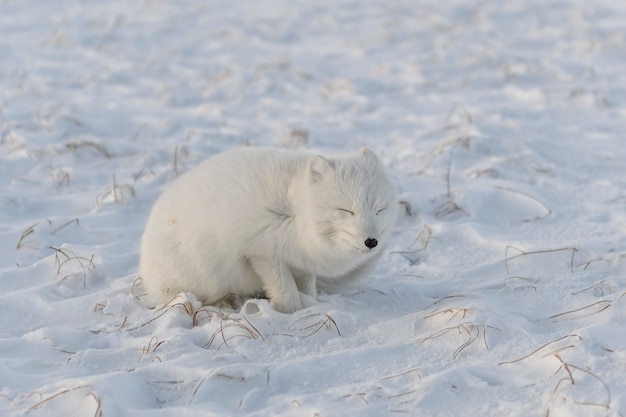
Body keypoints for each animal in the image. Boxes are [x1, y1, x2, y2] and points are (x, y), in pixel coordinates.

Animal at [140, 146, 398, 312]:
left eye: (380, 209)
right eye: (346, 210)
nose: (372, 242)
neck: (295, 210)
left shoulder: (303, 261)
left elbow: (307, 288)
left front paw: (311, 305)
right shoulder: (262, 252)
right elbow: (286, 291)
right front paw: (293, 315)